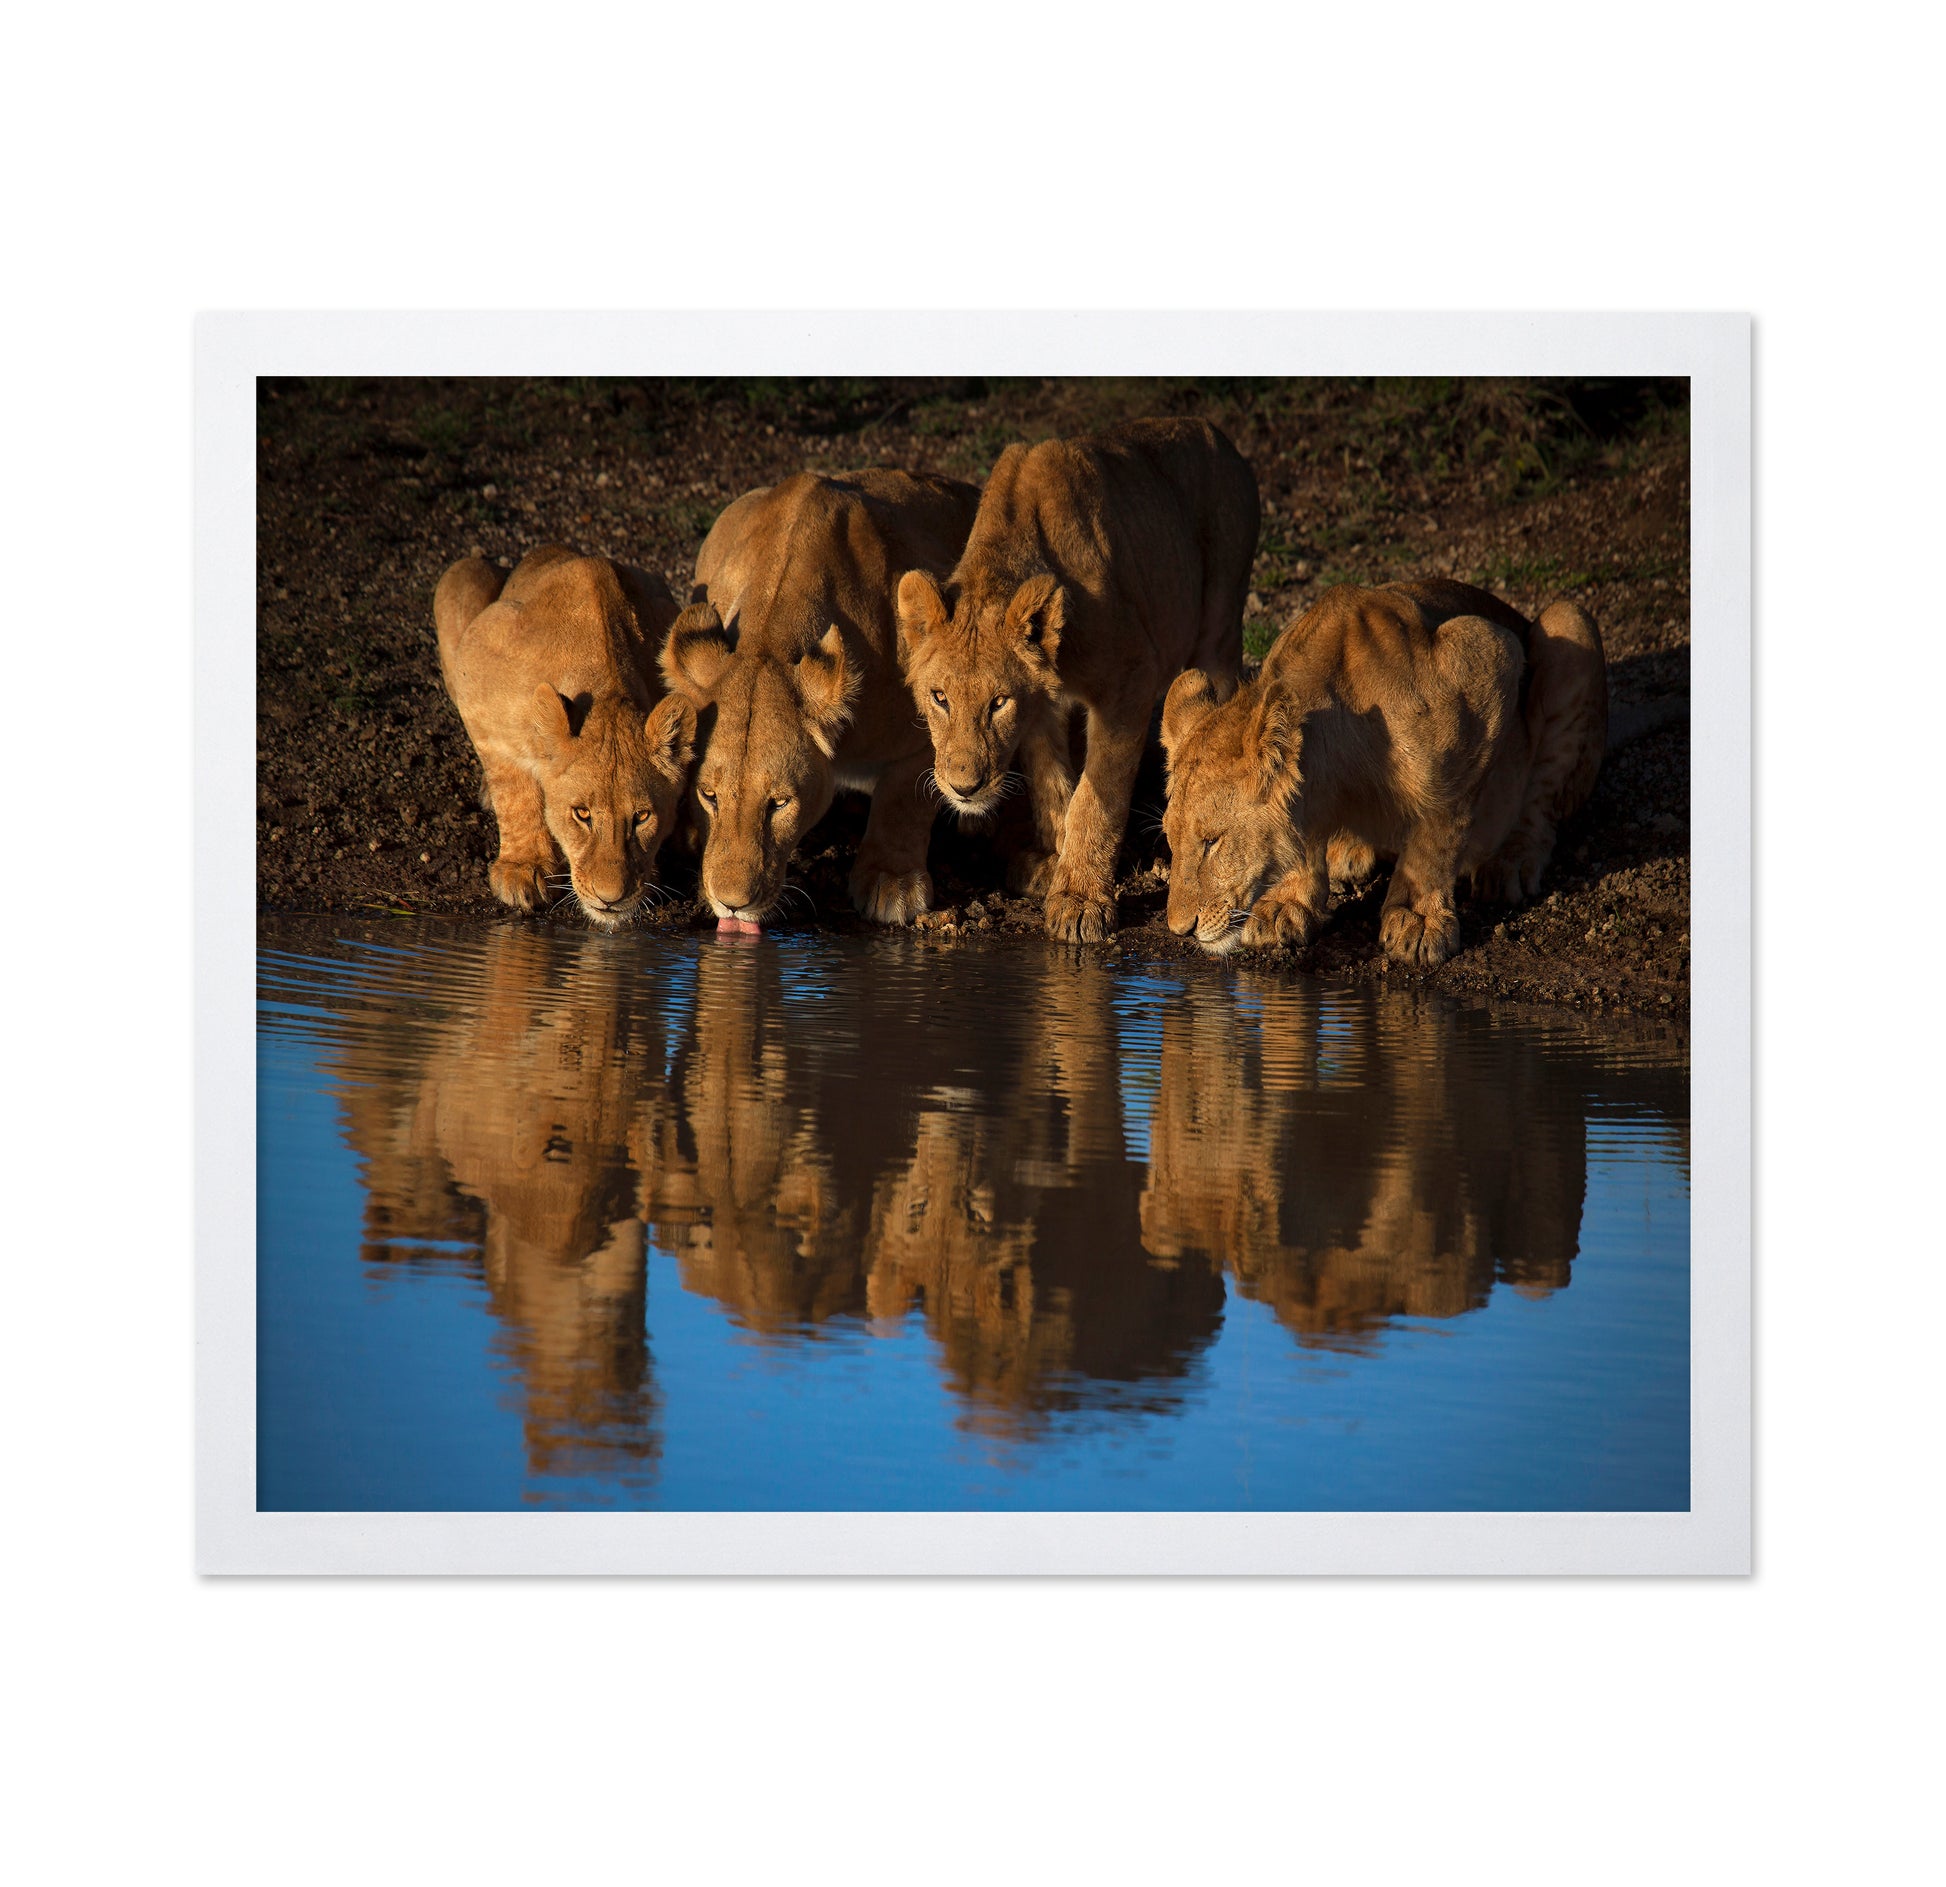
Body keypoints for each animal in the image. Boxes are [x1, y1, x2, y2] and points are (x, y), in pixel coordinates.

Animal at [434, 544, 700, 928]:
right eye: (582, 814)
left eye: (642, 817)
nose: (610, 899)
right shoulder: (476, 672)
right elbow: (513, 787)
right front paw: (523, 867)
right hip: (460, 576)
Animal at [658, 470, 978, 929]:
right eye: (709, 795)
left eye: (779, 803)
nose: (732, 903)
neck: (770, 636)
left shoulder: (929, 725)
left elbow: (904, 799)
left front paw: (893, 883)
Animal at [895, 417, 1259, 942]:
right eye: (939, 697)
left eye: (998, 702)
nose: (965, 788)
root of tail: (1216, 431)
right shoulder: (1042, 704)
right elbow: (1051, 779)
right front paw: (1053, 860)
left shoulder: (1131, 677)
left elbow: (1097, 793)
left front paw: (1081, 898)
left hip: (1222, 618)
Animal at [1159, 578, 1606, 967]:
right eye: (1171, 839)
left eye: (1212, 841)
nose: (1180, 930)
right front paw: (1289, 902)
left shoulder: (1488, 657)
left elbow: (1440, 825)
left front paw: (1419, 918)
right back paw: (1349, 851)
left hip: (1569, 623)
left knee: (1542, 803)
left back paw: (1509, 862)